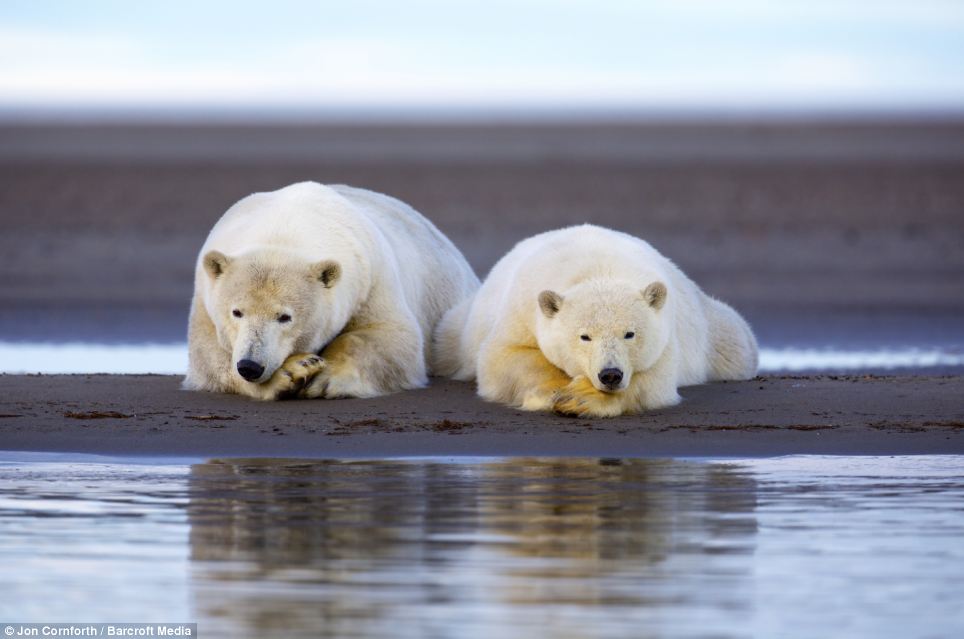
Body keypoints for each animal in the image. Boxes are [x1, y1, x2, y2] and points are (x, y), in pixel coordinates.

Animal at [184, 181, 478, 400]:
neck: (284, 227)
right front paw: (291, 372)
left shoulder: (371, 277)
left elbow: (391, 336)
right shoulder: (205, 298)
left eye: (285, 317)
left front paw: (324, 377)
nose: (250, 366)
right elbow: (208, 357)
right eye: (236, 312)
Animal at [436, 222, 760, 418]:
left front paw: (582, 398)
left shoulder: (665, 337)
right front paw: (554, 392)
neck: (597, 268)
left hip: (713, 331)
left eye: (629, 333)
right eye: (585, 336)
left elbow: (655, 380)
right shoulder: (522, 306)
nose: (610, 374)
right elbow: (503, 358)